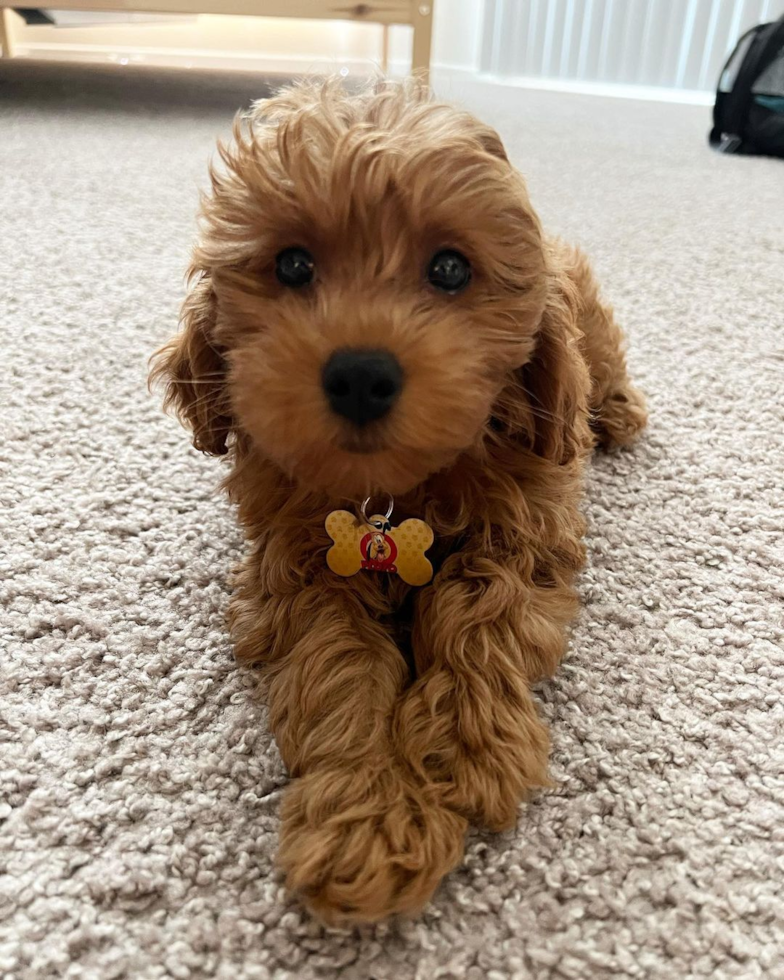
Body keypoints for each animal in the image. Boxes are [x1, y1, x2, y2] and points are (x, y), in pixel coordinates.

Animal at [150, 78, 648, 928]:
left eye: (449, 268)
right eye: (292, 264)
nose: (360, 374)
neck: (394, 494)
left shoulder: (526, 527)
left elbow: (480, 611)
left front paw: (462, 750)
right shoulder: (297, 565)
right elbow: (338, 664)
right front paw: (367, 820)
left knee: (605, 362)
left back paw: (614, 411)